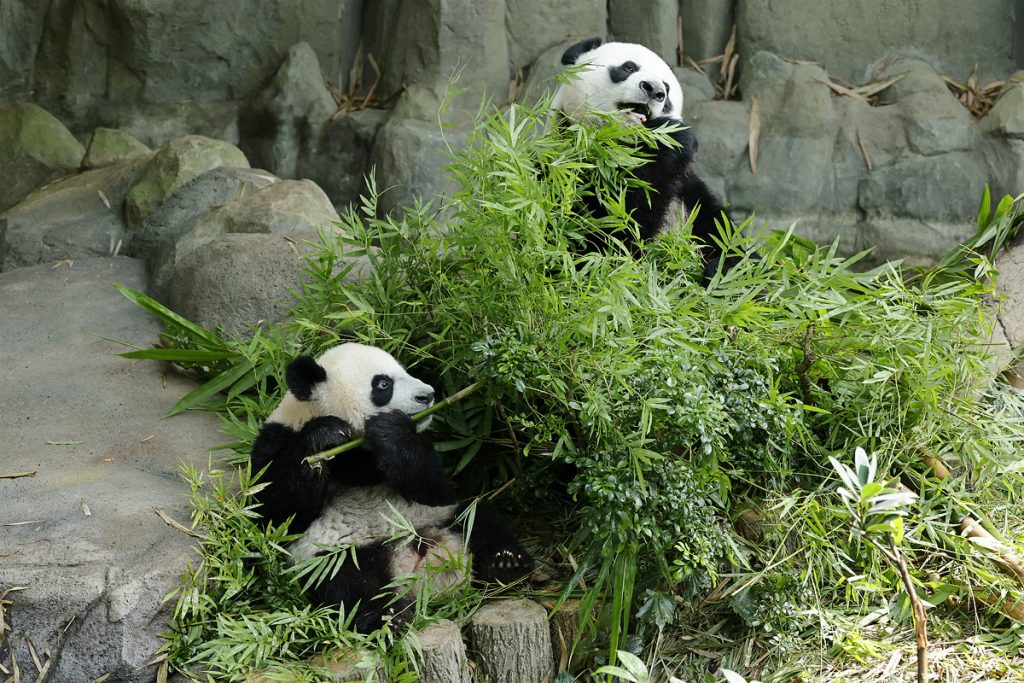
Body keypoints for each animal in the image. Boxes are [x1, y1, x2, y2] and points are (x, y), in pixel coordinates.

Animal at [249, 342, 533, 632]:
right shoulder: (275, 441)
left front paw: (391, 431)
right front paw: (324, 436)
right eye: (383, 384)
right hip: (335, 555)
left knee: (479, 519)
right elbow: (276, 515)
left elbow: (433, 487)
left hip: (441, 518)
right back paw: (387, 618)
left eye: (404, 371)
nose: (427, 395)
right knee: (346, 584)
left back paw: (506, 563)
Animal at [552, 37, 735, 279]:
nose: (654, 90)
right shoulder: (565, 166)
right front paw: (670, 139)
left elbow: (725, 236)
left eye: (667, 88)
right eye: (629, 67)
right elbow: (604, 239)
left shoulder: (690, 194)